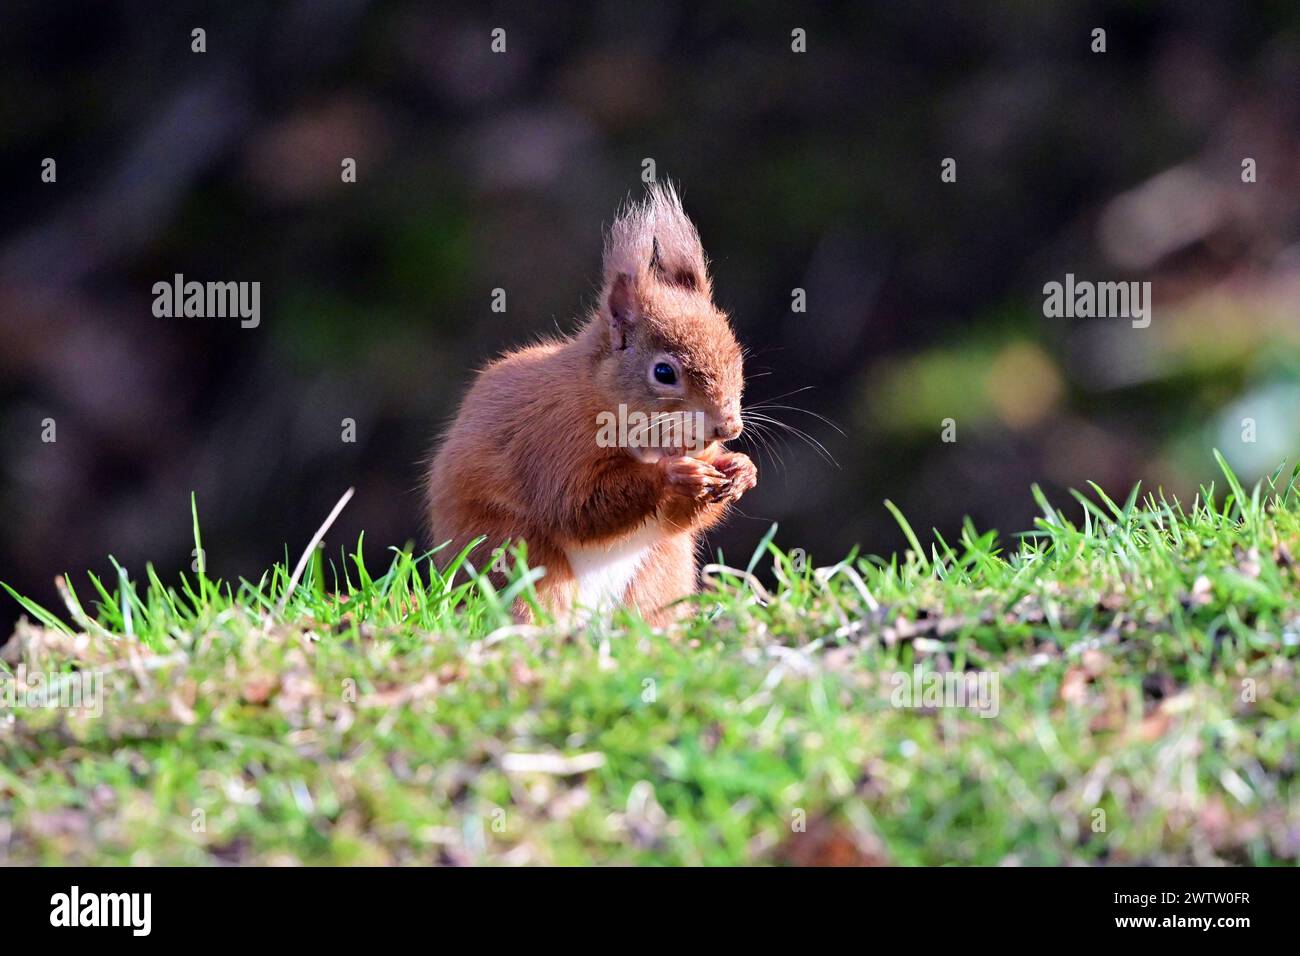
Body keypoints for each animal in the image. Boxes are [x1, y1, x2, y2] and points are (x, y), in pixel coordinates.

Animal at [426, 184, 759, 629]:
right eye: (664, 372)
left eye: (737, 358)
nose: (729, 428)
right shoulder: (556, 439)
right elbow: (577, 505)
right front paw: (673, 474)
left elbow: (679, 519)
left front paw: (741, 468)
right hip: (514, 553)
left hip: (661, 570)